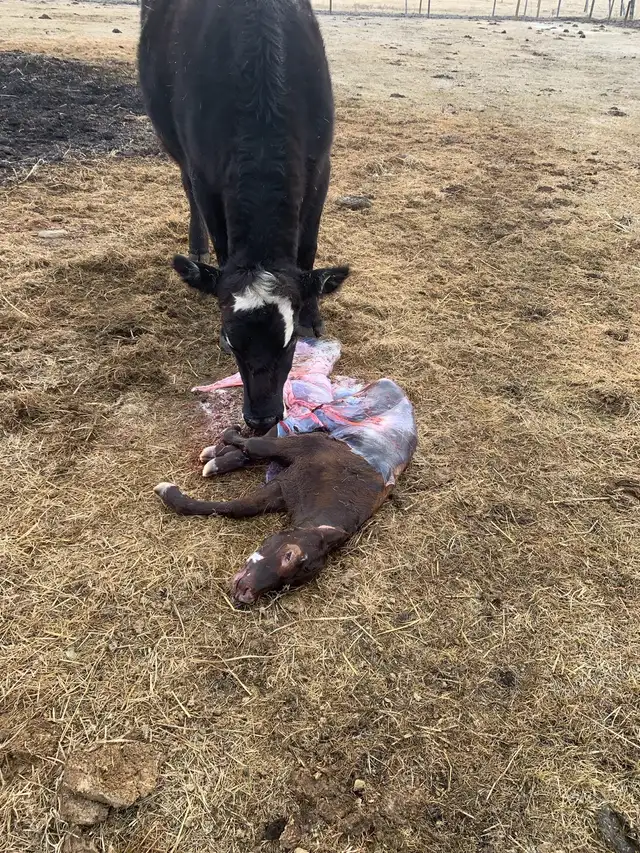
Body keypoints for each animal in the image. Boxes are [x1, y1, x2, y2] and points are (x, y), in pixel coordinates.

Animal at [138, 0, 349, 433]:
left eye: (290, 341)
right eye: (232, 340)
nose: (262, 417)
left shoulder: (320, 167)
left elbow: (309, 248)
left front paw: (313, 317)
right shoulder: (204, 173)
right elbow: (221, 240)